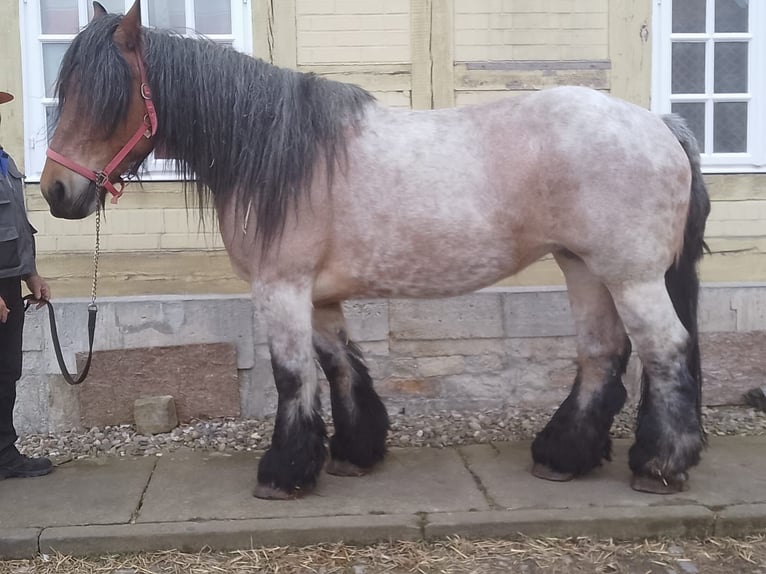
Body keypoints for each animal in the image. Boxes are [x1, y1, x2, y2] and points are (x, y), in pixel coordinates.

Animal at [40, 1, 710, 499]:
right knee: (602, 354)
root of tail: (659, 125)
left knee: (665, 351)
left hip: (632, 276)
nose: (55, 192)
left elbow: (292, 375)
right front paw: (353, 453)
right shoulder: (317, 295)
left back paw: (658, 465)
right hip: (584, 268)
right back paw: (563, 455)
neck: (278, 154)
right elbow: (340, 365)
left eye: (106, 98)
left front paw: (283, 473)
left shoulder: (281, 287)